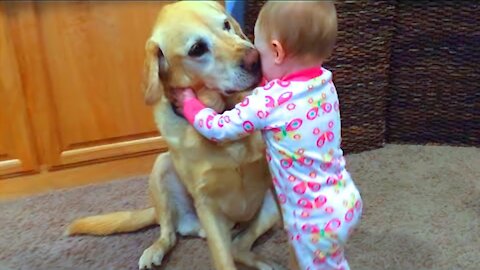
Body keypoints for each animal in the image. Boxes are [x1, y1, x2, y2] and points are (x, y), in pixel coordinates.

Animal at [66, 2, 282, 270]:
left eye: (226, 24)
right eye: (197, 49)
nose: (256, 59)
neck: (222, 112)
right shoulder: (207, 204)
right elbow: (223, 260)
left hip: (268, 211)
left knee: (238, 245)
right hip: (162, 167)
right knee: (170, 232)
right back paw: (155, 250)